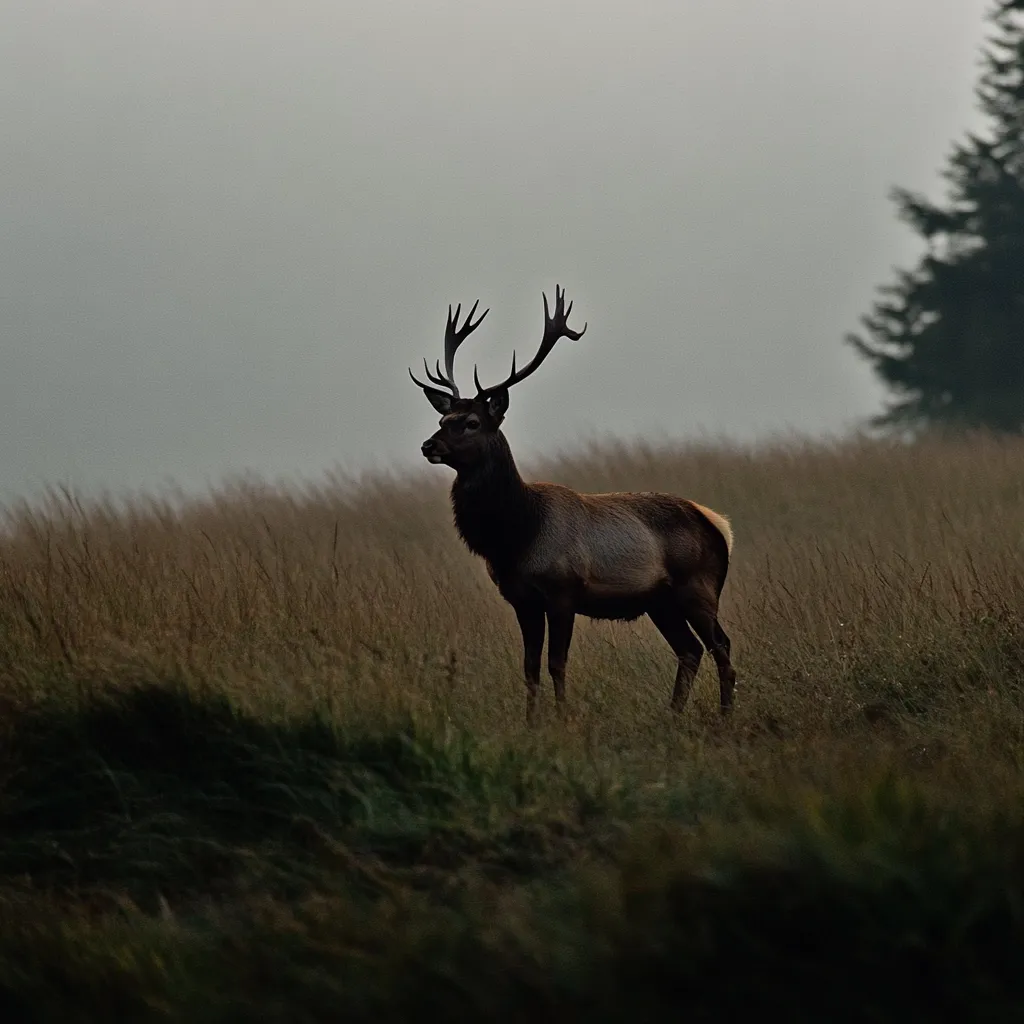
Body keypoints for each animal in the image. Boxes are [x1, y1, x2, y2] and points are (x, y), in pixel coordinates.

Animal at [409, 285, 736, 725]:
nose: (429, 445)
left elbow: (557, 663)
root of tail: (719, 526)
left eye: (472, 423)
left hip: (698, 586)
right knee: (690, 649)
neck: (516, 536)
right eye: (444, 420)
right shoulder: (521, 598)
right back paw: (671, 716)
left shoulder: (563, 590)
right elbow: (530, 667)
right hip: (660, 601)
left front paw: (563, 721)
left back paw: (724, 717)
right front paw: (531, 725)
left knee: (721, 646)